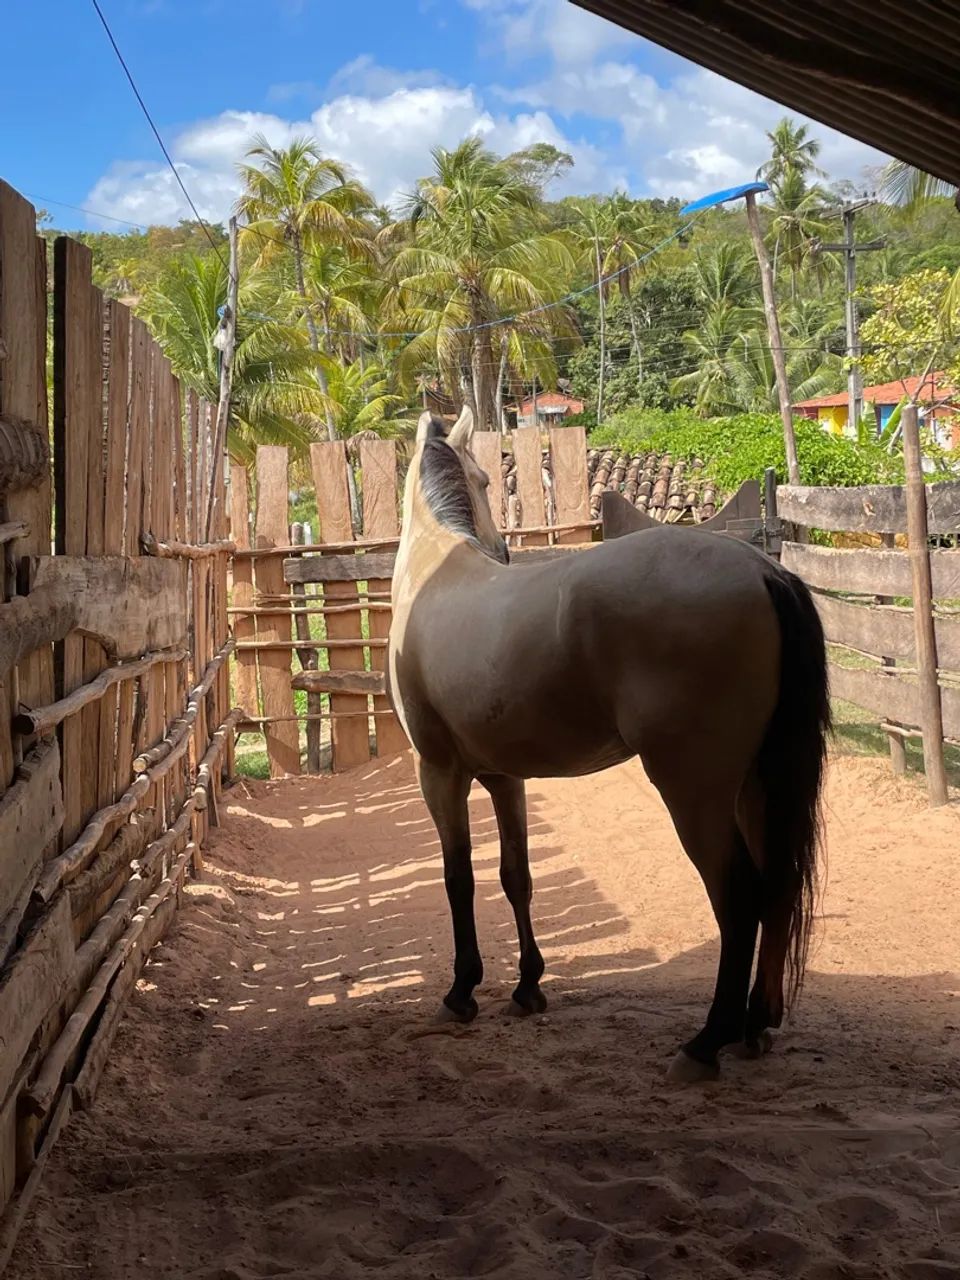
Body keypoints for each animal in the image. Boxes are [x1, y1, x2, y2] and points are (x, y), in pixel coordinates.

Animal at [387, 406, 830, 1082]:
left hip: (694, 792)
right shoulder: (504, 777)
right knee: (777, 885)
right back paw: (755, 1028)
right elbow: (515, 875)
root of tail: (764, 569)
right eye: (485, 479)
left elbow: (458, 878)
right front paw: (527, 988)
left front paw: (461, 993)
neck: (437, 572)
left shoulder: (438, 773)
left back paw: (707, 1042)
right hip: (758, 785)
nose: (502, 550)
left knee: (739, 897)